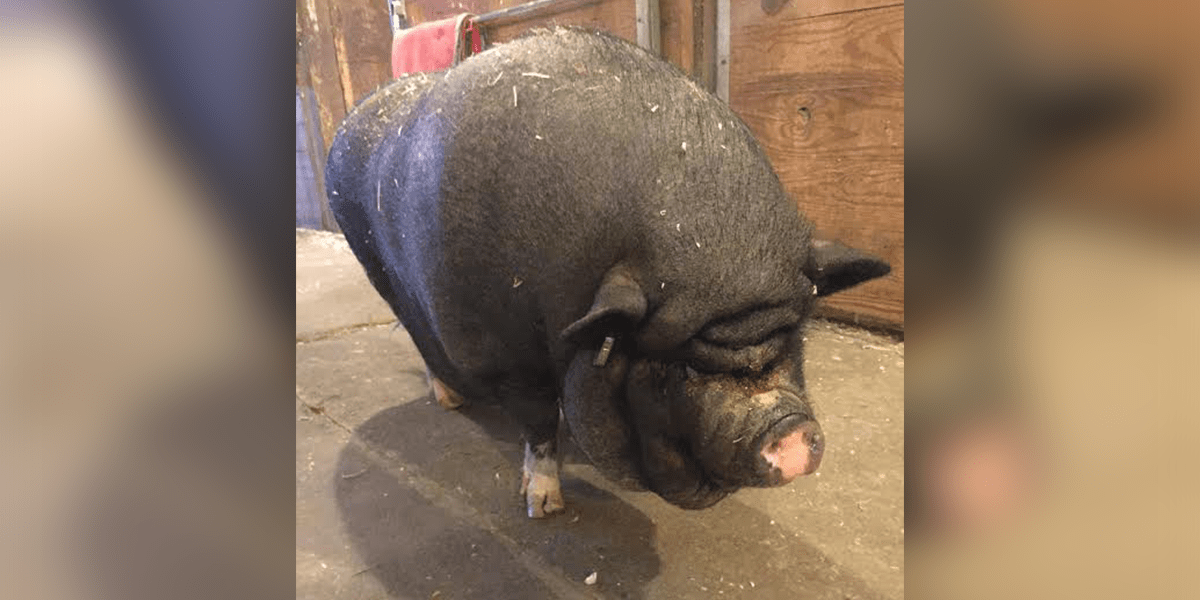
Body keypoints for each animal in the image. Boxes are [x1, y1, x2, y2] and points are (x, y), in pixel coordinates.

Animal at [325, 28, 890, 518]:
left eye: (793, 337)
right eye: (680, 369)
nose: (790, 434)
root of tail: (354, 118)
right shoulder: (510, 357)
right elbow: (537, 422)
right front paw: (543, 506)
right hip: (374, 266)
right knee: (415, 331)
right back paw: (449, 400)